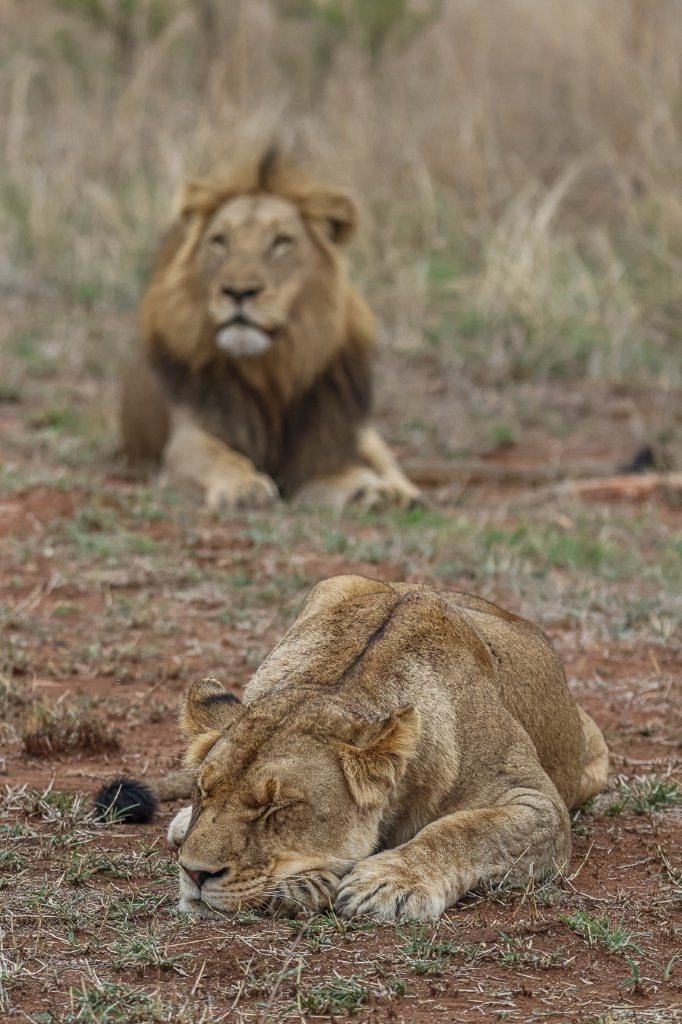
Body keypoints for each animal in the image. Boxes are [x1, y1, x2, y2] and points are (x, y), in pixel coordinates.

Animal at [120, 147, 420, 511]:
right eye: (220, 241)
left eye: (281, 242)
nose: (238, 292)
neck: (272, 369)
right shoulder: (188, 437)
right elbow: (220, 458)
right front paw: (243, 486)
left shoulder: (325, 445)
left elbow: (344, 471)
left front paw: (370, 490)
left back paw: (399, 490)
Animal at [167, 574, 608, 922]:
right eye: (204, 789)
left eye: (278, 807)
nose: (194, 874)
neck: (338, 688)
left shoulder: (541, 804)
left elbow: (467, 830)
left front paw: (388, 883)